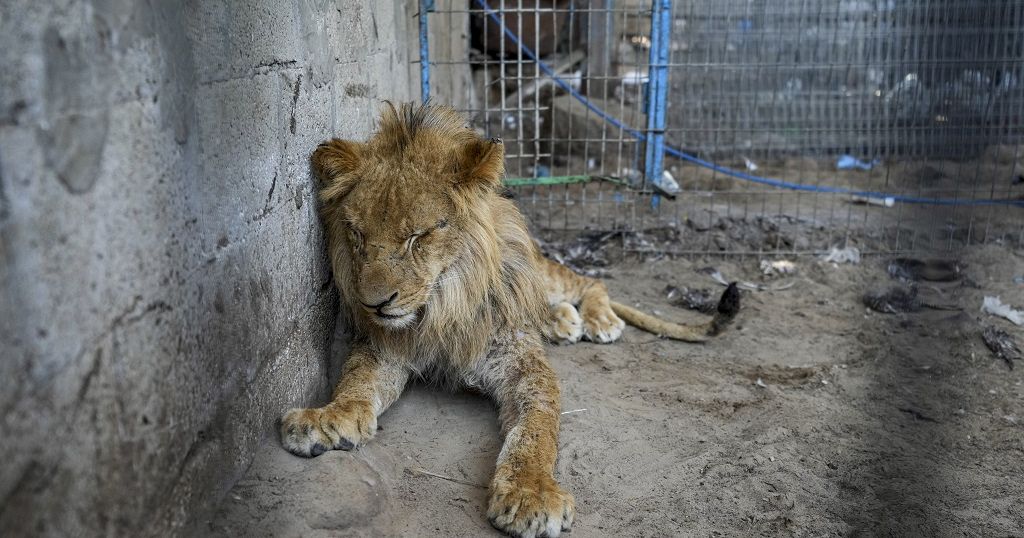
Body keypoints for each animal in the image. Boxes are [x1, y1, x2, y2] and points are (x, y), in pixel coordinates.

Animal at [284, 102, 741, 532]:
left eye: (418, 236)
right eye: (357, 234)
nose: (374, 304)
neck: (442, 307)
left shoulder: (523, 364)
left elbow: (537, 427)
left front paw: (531, 493)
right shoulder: (385, 345)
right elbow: (356, 380)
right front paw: (328, 418)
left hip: (539, 269)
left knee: (588, 281)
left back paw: (598, 321)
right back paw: (561, 321)